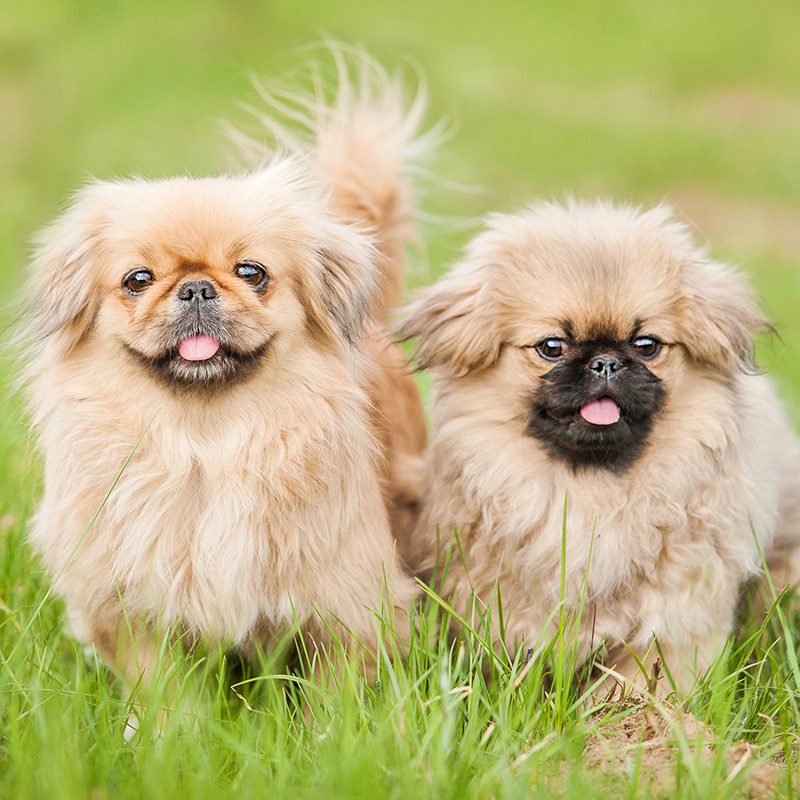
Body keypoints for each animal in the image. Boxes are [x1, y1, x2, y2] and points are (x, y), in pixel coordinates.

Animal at [18, 53, 428, 684]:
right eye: (139, 279)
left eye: (251, 272)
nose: (195, 287)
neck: (205, 444)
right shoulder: (128, 605)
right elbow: (162, 687)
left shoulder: (347, 599)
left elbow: (338, 687)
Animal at [404, 200, 800, 692]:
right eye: (552, 347)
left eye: (646, 345)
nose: (606, 362)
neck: (594, 492)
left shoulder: (673, 617)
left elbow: (644, 685)